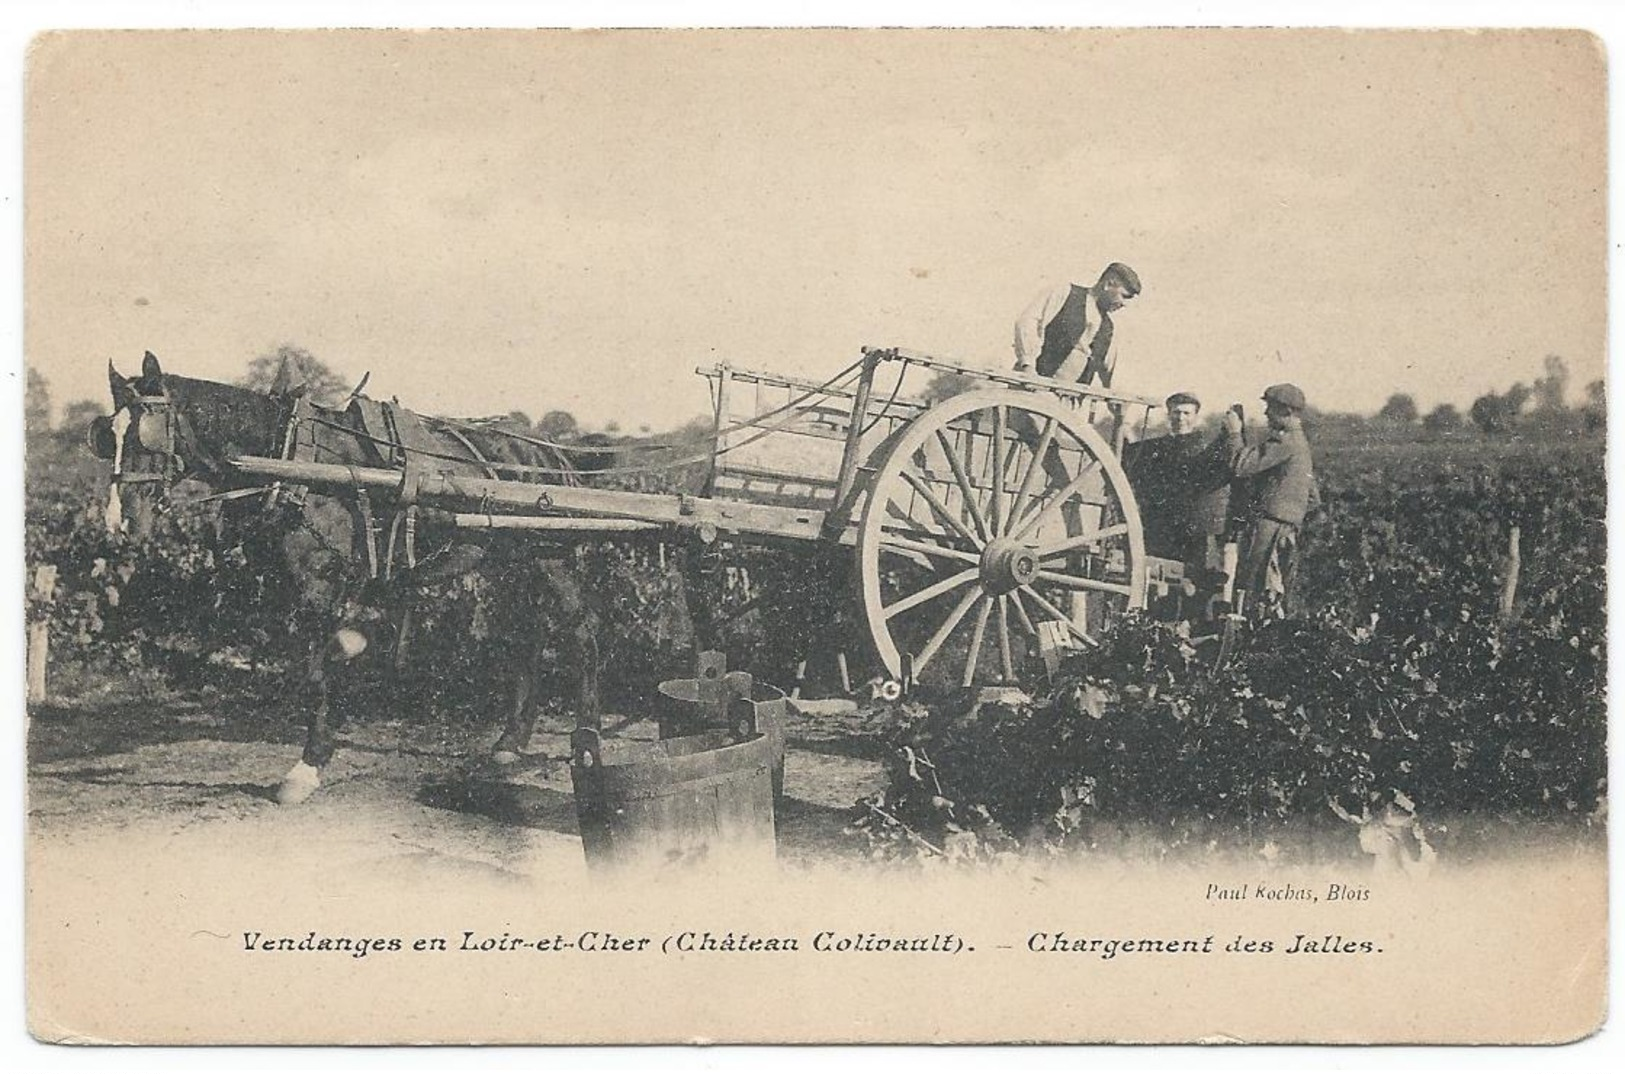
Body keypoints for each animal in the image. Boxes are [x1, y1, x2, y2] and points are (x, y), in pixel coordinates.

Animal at [99, 352, 611, 805]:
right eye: (107, 438)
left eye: (145, 434)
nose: (119, 522)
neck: (289, 462)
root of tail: (547, 451)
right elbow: (312, 662)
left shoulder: (319, 584)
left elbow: (317, 671)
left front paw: (307, 767)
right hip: (510, 560)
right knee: (528, 638)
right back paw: (510, 742)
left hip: (551, 560)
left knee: (581, 633)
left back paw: (586, 738)